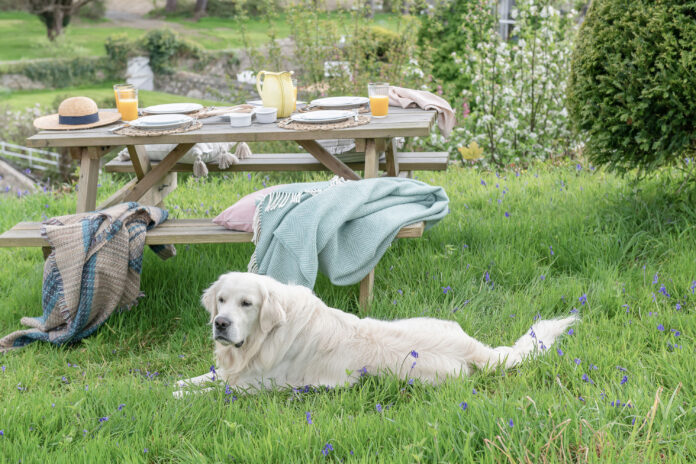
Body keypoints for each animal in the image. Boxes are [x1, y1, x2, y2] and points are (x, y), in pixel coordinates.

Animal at [174, 270, 576, 396]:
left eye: (247, 304)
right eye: (221, 300)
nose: (220, 323)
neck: (262, 339)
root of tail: (474, 348)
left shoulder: (257, 385)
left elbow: (210, 391)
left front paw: (178, 395)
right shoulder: (236, 371)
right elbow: (205, 377)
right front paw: (175, 384)